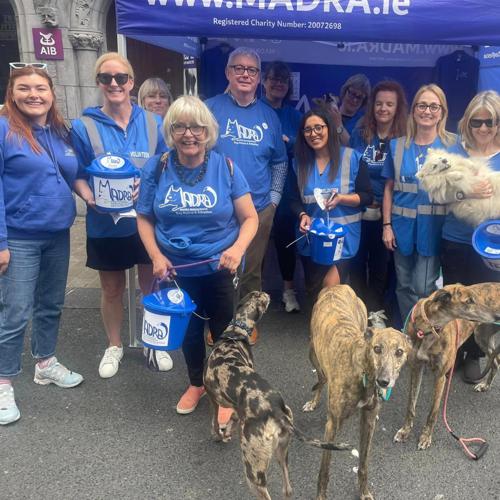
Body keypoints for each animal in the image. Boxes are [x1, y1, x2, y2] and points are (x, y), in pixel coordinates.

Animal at [203, 291, 351, 500]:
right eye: (257, 295)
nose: (266, 292)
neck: (235, 333)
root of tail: (276, 412)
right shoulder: (236, 407)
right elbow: (233, 416)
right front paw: (228, 430)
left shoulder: (212, 397)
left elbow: (215, 423)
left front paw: (219, 435)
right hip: (282, 452)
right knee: (287, 490)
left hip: (253, 472)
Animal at [303, 285, 411, 500]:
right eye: (377, 349)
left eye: (399, 352)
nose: (383, 382)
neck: (363, 372)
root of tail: (337, 286)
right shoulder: (333, 425)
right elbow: (324, 470)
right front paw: (321, 496)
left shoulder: (368, 420)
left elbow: (363, 463)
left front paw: (363, 492)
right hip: (313, 353)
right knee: (321, 379)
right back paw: (313, 401)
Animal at [394, 283, 500, 450]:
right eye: (469, 301)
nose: (497, 316)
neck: (428, 330)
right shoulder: (416, 369)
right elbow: (410, 405)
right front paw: (405, 431)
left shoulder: (440, 377)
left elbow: (433, 412)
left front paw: (426, 437)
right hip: (481, 336)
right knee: (495, 362)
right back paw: (485, 385)